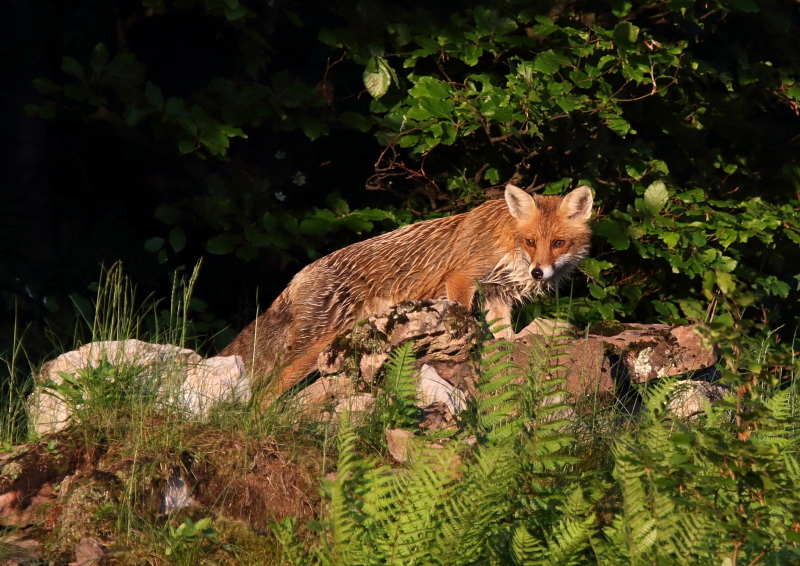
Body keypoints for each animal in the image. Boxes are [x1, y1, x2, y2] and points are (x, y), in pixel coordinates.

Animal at [222, 184, 592, 402]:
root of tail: (298, 275)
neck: (509, 248)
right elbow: (461, 313)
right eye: (531, 241)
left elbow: (505, 336)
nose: (537, 272)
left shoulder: (496, 294)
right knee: (267, 390)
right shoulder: (461, 276)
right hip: (312, 349)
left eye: (558, 243)